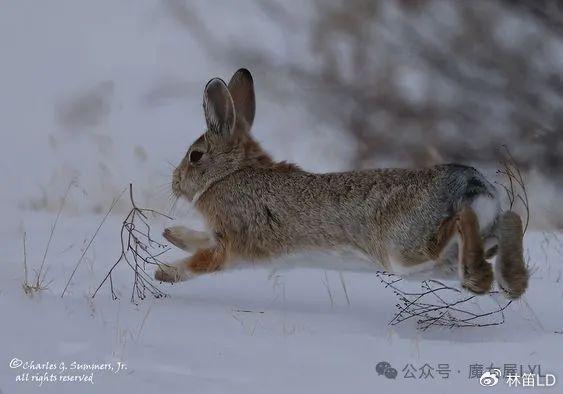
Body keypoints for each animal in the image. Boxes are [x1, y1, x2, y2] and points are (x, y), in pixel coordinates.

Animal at [156, 68, 532, 298]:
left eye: (195, 156)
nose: (174, 182)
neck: (230, 173)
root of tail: (472, 185)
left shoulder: (233, 241)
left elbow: (203, 261)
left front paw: (163, 273)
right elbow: (198, 239)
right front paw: (172, 235)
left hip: (405, 250)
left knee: (463, 224)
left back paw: (483, 279)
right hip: (447, 255)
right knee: (509, 223)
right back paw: (509, 280)